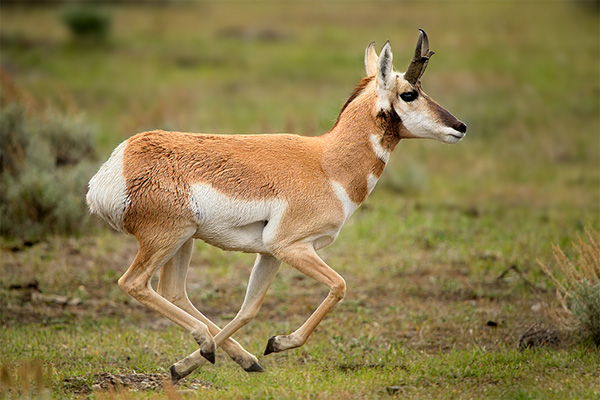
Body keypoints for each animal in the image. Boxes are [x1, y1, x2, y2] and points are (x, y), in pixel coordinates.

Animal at [88, 29, 464, 382]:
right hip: (167, 238)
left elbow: (249, 309)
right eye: (409, 93)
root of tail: (118, 164)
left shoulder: (269, 253)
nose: (460, 126)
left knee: (174, 291)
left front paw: (194, 365)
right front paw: (276, 343)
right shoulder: (291, 247)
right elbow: (339, 285)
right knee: (134, 283)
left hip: (185, 241)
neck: (326, 162)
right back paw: (206, 343)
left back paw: (230, 356)